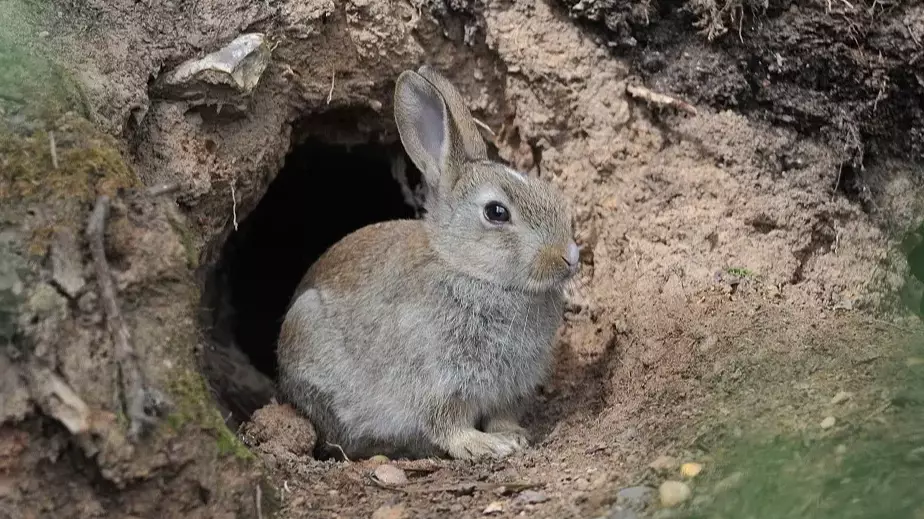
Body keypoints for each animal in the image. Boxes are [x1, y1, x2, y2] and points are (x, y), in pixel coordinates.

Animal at [276, 65, 580, 461]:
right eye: (496, 212)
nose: (570, 256)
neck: (465, 269)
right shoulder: (441, 381)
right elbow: (448, 424)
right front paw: (486, 445)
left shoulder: (509, 389)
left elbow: (501, 414)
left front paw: (512, 435)